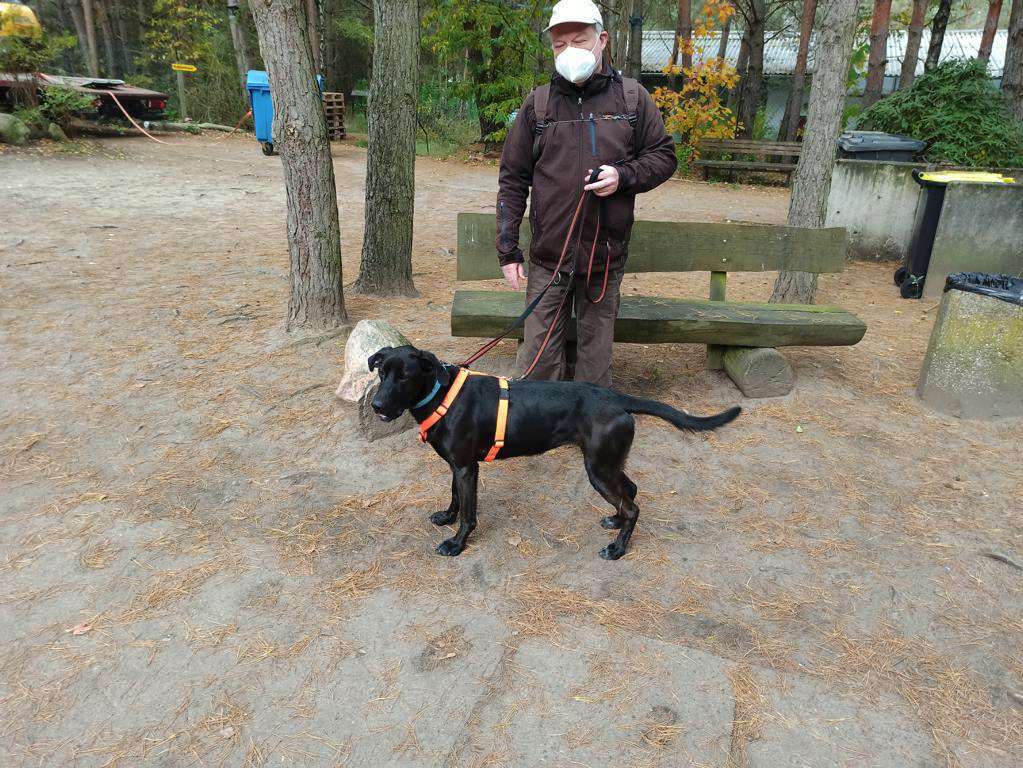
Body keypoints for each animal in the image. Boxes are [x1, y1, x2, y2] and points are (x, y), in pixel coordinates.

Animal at [368, 345, 741, 561]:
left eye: (404, 377)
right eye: (382, 372)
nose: (376, 406)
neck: (441, 392)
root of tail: (617, 398)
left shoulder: (466, 467)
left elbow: (469, 513)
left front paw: (456, 543)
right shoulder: (457, 466)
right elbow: (455, 498)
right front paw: (446, 517)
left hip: (598, 469)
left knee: (633, 506)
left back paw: (618, 549)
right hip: (606, 463)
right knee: (630, 493)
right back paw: (615, 521)